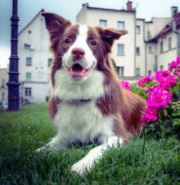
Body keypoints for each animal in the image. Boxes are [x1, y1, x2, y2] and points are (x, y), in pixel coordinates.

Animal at [38, 12, 146, 175]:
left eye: (93, 43)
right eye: (67, 41)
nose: (77, 52)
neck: (80, 96)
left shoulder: (118, 136)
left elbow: (95, 149)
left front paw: (81, 166)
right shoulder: (64, 135)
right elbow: (45, 148)